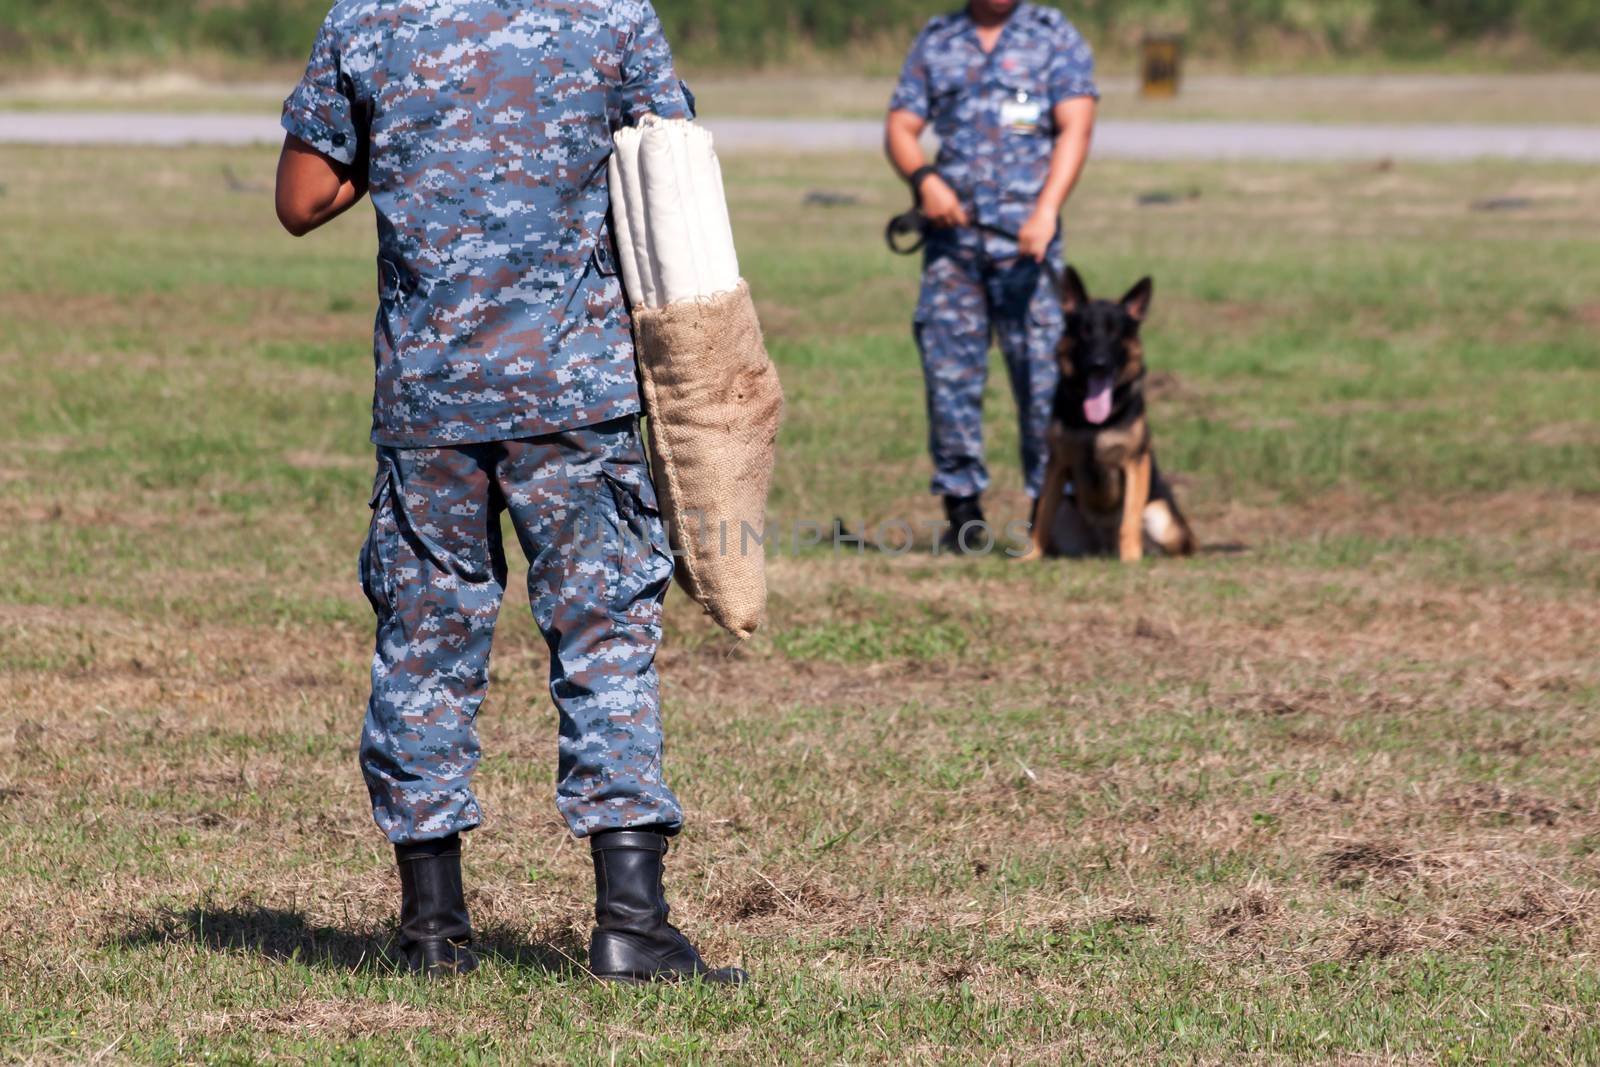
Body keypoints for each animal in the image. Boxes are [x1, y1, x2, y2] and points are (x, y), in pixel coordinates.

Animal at [1030, 271, 1196, 563]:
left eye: (1116, 333)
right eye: (1085, 331)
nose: (1099, 363)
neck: (1094, 424)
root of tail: (1103, 547)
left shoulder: (1134, 463)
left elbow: (1129, 520)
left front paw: (1130, 560)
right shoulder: (1058, 463)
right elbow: (1042, 518)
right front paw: (1029, 557)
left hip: (1160, 517)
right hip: (1067, 510)